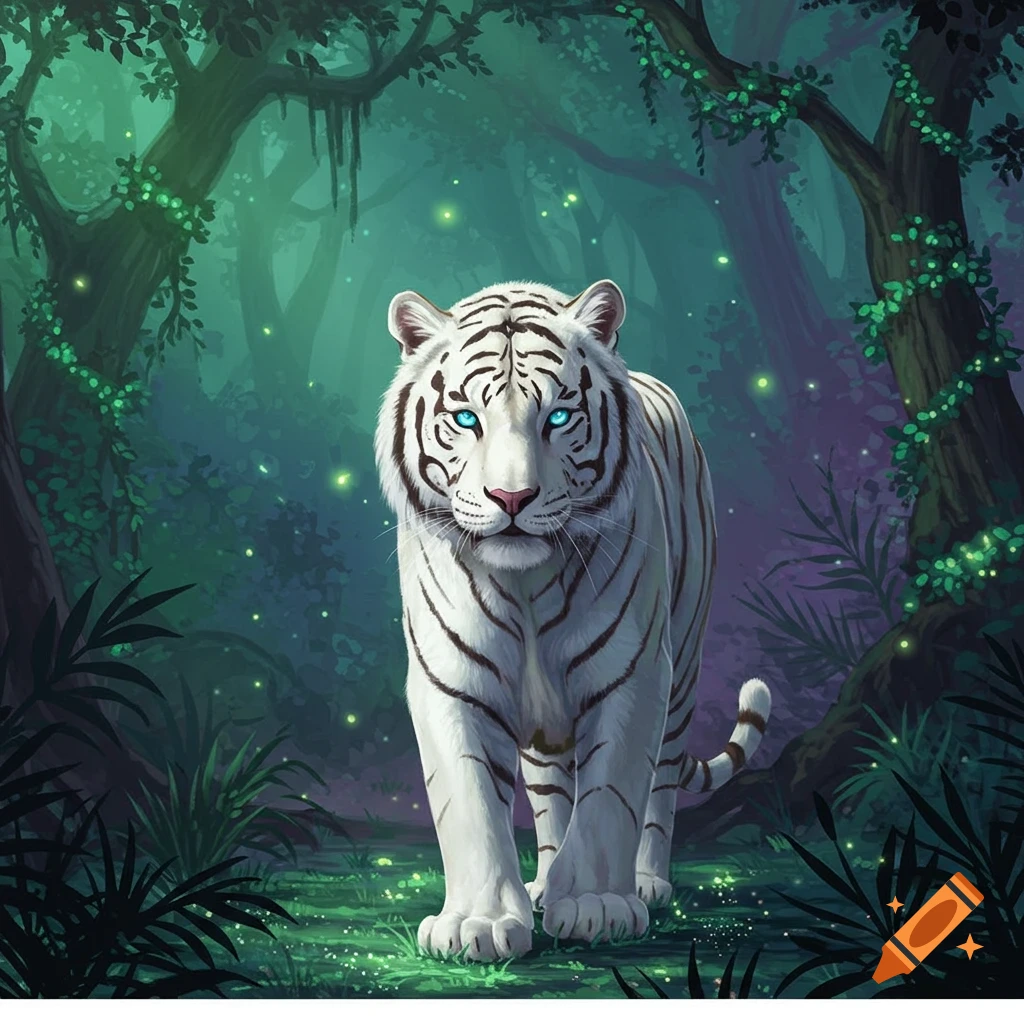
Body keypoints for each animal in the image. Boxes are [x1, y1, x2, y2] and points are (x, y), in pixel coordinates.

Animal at [374, 278, 771, 962]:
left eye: (557, 417)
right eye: (466, 419)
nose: (511, 499)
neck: (525, 584)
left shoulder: (634, 673)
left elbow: (612, 794)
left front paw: (594, 905)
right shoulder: (451, 678)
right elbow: (469, 801)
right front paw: (478, 923)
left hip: (683, 666)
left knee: (661, 784)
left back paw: (647, 882)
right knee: (551, 796)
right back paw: (541, 884)